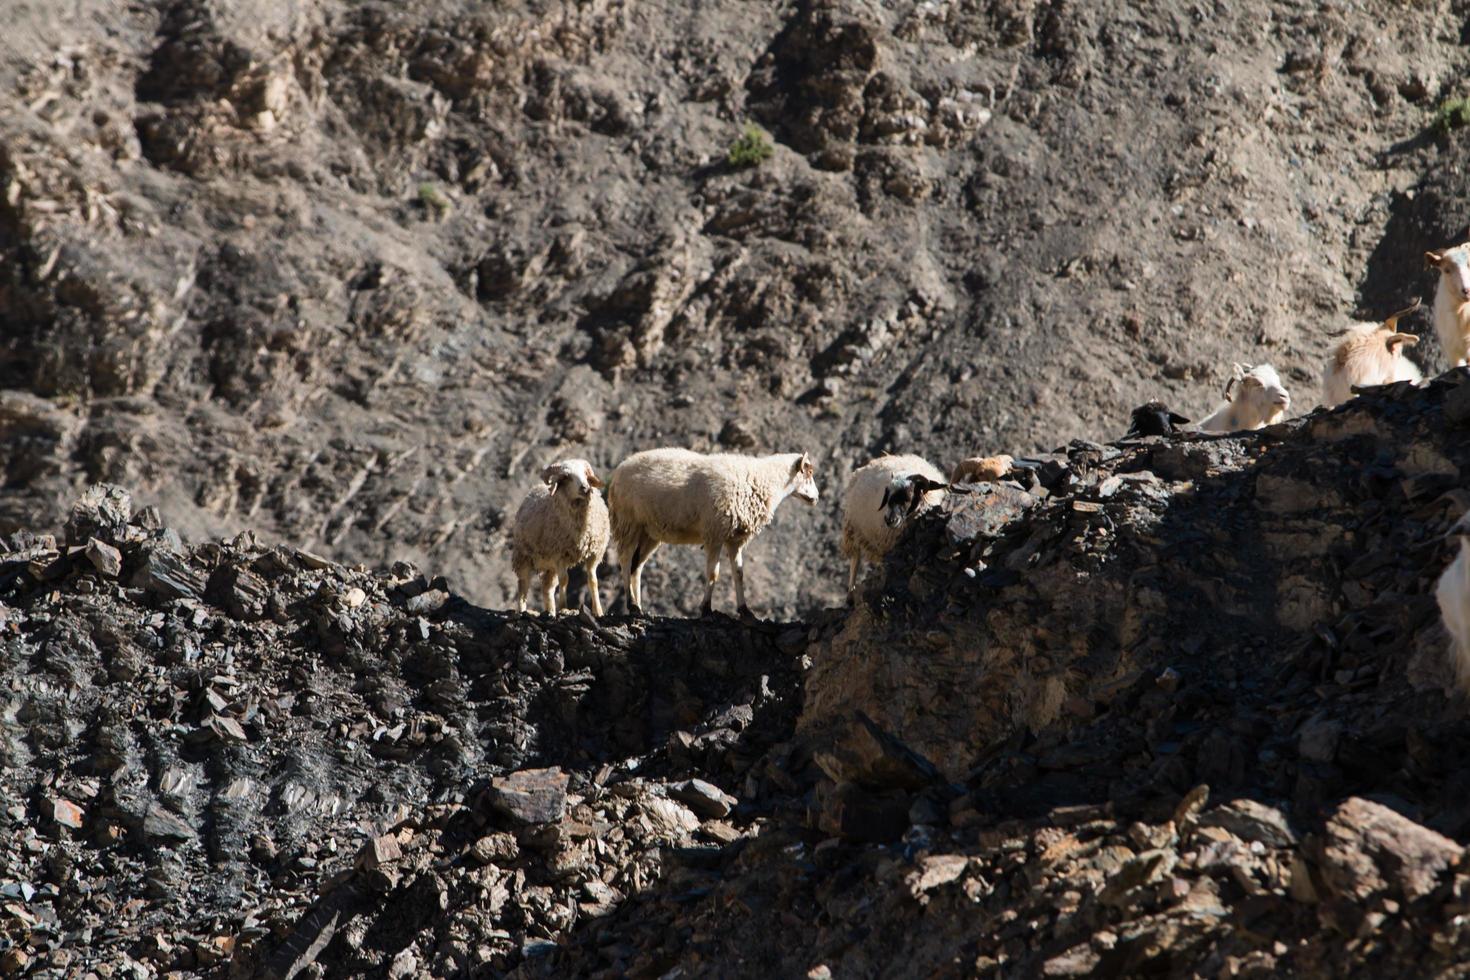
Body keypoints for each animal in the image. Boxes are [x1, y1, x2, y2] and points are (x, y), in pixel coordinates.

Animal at [511, 458, 608, 614]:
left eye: (585, 473)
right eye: (566, 477)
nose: (585, 488)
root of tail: (534, 490)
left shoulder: (594, 553)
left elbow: (593, 580)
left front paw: (598, 611)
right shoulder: (559, 556)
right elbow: (565, 580)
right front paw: (563, 607)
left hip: (549, 567)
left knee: (547, 588)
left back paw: (551, 611)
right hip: (523, 557)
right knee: (523, 585)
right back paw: (523, 610)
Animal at [602, 449, 823, 617]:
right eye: (809, 471)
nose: (817, 498)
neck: (763, 480)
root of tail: (619, 469)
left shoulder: (735, 539)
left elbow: (739, 574)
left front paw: (745, 610)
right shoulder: (715, 533)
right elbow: (713, 573)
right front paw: (706, 609)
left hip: (650, 533)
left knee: (637, 568)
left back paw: (639, 608)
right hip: (629, 523)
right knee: (625, 561)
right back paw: (631, 605)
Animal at [840, 455, 952, 599]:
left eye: (908, 497)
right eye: (887, 494)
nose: (889, 520)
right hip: (853, 528)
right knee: (855, 560)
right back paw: (851, 592)